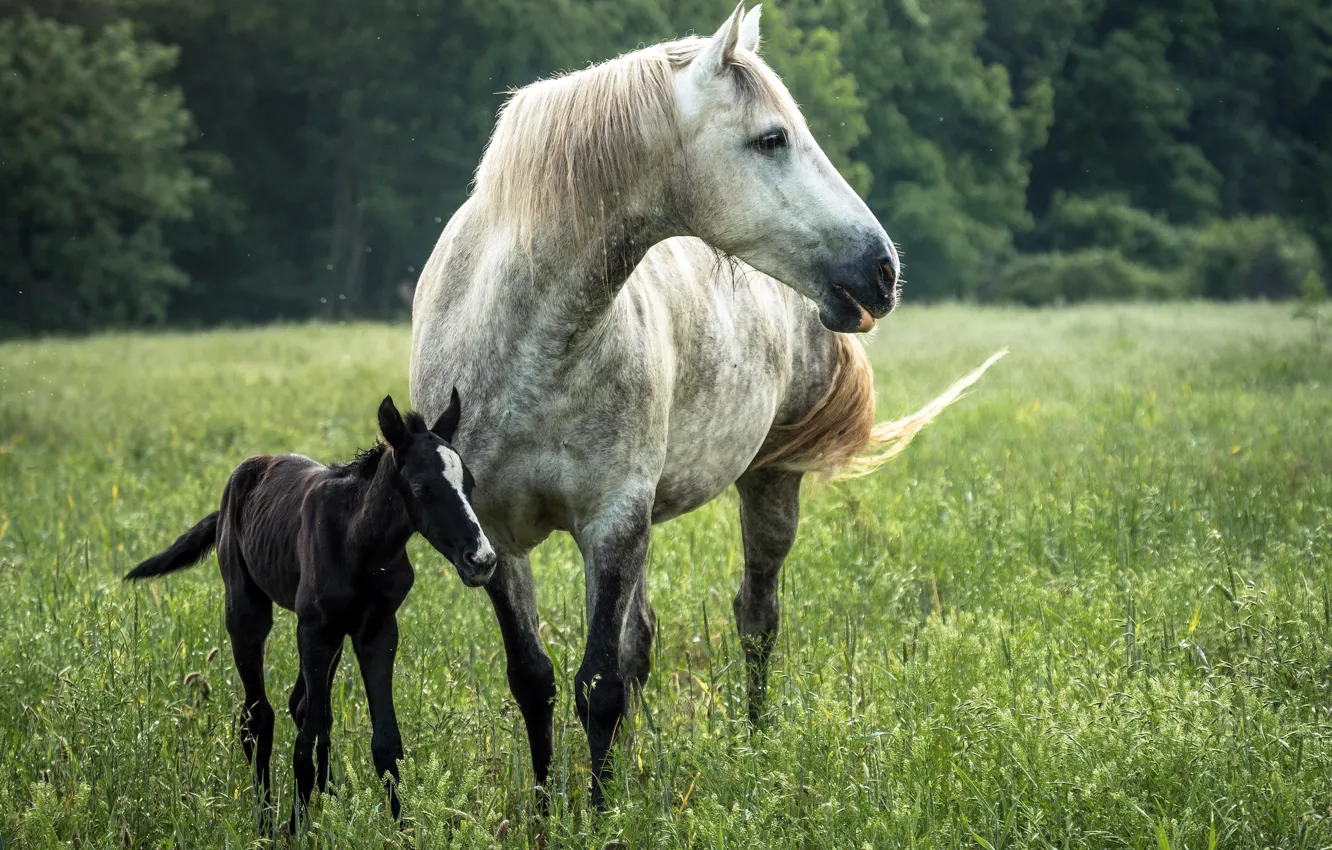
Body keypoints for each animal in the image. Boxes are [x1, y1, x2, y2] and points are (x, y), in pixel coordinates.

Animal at [124, 393, 494, 831]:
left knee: (301, 706)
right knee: (258, 719)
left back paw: (326, 797)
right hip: (248, 612)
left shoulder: (376, 630)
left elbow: (385, 743)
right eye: (422, 489)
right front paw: (296, 829)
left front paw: (401, 829)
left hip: (333, 636)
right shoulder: (314, 629)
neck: (360, 543)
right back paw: (265, 822)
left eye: (470, 484)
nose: (482, 560)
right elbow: (305, 740)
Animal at [409, 3, 1004, 806]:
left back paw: (755, 745)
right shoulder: (495, 535)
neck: (521, 344)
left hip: (768, 482)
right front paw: (545, 807)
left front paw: (599, 812)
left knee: (754, 617)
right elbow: (535, 679)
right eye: (771, 138)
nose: (881, 269)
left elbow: (598, 684)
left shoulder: (613, 523)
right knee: (642, 638)